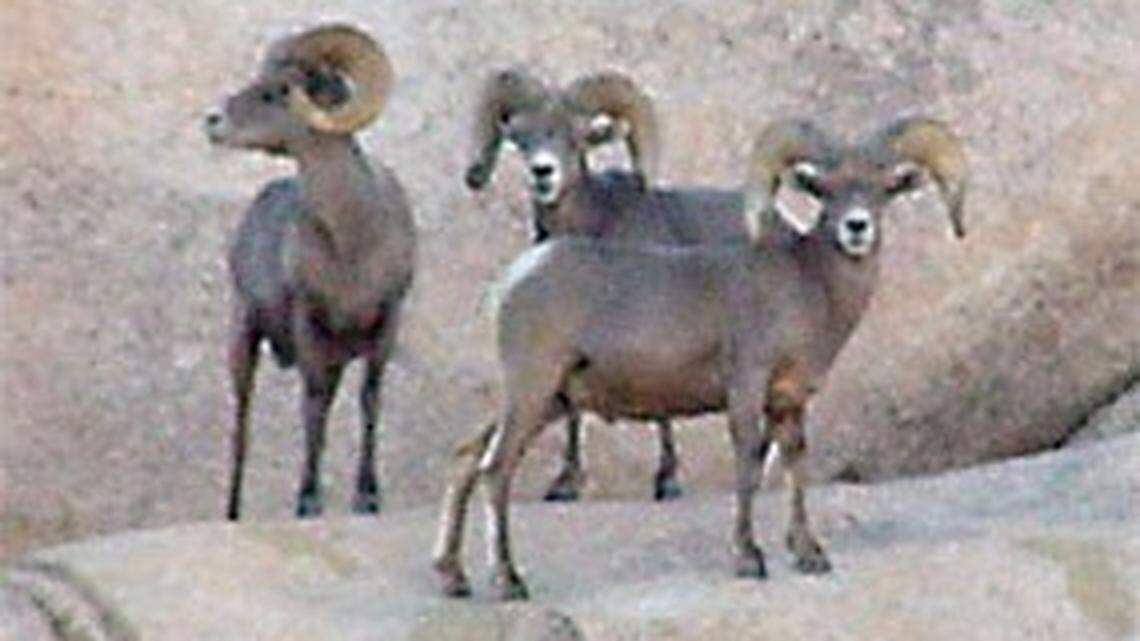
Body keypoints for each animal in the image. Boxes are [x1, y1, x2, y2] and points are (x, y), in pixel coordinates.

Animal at [203, 24, 415, 520]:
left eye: (281, 90)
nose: (213, 120)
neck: (352, 237)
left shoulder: (386, 322)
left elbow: (369, 399)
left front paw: (367, 497)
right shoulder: (310, 324)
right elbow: (313, 407)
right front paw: (308, 500)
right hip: (243, 338)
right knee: (243, 422)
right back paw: (233, 512)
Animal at [434, 117, 968, 600]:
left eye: (883, 190)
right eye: (824, 190)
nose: (857, 227)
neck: (809, 285)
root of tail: (514, 279)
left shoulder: (789, 401)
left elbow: (795, 465)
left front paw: (809, 554)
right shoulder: (746, 386)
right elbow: (748, 464)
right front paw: (749, 559)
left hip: (544, 401)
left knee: (466, 459)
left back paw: (453, 578)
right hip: (532, 391)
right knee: (495, 469)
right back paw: (508, 582)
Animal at [465, 67, 751, 502]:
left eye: (577, 136)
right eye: (523, 138)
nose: (542, 172)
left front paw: (668, 482)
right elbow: (573, 412)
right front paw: (565, 484)